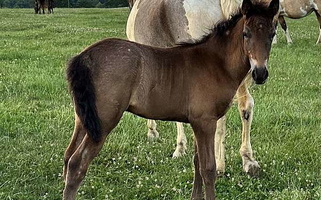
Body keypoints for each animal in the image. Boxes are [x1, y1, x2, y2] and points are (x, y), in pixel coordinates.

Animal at [62, 0, 278, 198]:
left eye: (272, 34)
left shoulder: (198, 123)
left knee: (67, 155)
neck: (215, 63)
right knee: (77, 163)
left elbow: (197, 164)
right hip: (104, 122)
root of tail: (84, 57)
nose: (260, 73)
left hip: (83, 119)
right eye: (246, 33)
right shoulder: (205, 122)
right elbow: (208, 169)